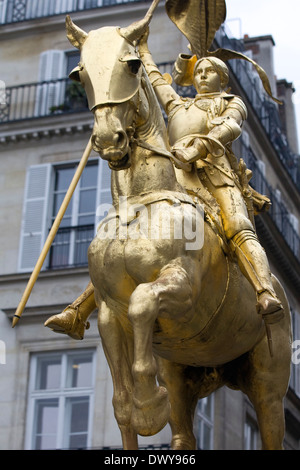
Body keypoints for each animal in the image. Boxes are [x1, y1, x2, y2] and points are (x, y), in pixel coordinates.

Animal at [64, 12, 292, 450]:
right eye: (79, 72)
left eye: (131, 65)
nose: (108, 138)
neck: (139, 205)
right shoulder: (108, 312)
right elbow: (121, 407)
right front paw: (140, 409)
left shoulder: (182, 285)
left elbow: (142, 302)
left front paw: (150, 405)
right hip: (182, 372)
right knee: (183, 434)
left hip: (269, 386)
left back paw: (268, 300)